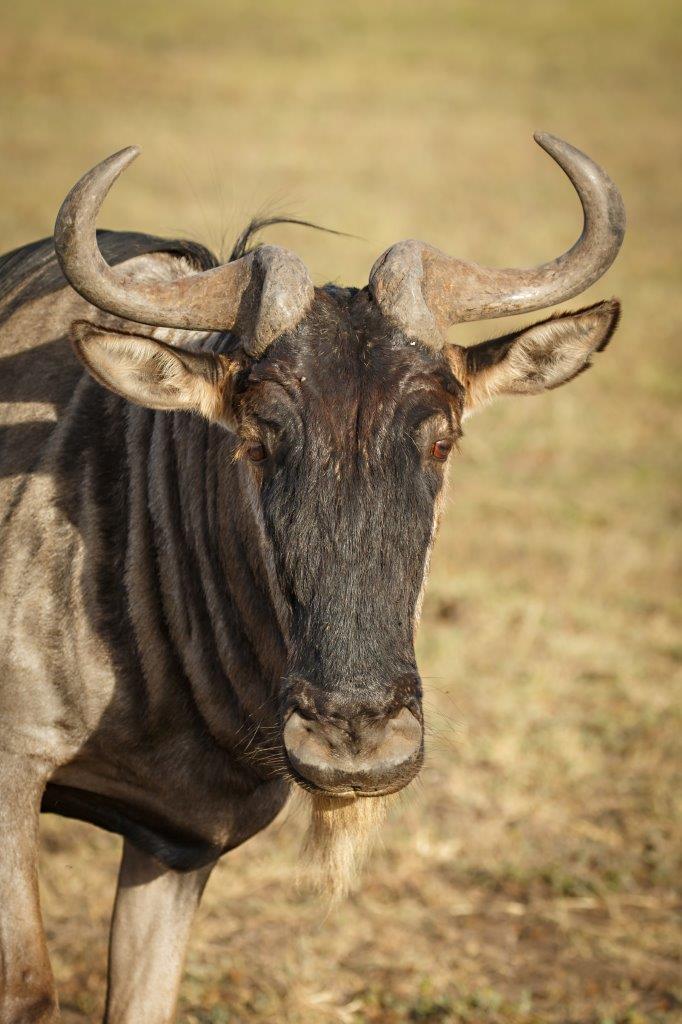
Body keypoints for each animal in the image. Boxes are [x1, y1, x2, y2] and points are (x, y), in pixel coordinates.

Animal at [0, 133, 624, 1023]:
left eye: (441, 438)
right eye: (258, 438)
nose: (353, 741)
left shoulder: (176, 845)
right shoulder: (13, 777)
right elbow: (28, 986)